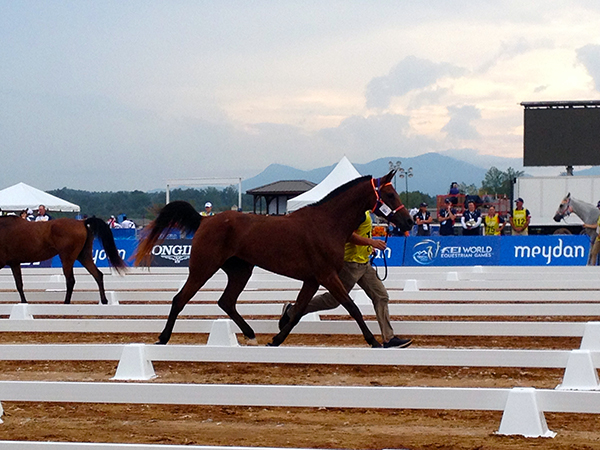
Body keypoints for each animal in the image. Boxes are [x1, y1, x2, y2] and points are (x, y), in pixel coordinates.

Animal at [137, 172, 414, 348]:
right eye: (390, 194)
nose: (409, 222)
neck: (327, 223)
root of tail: (206, 220)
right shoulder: (327, 276)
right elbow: (352, 307)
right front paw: (374, 341)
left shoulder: (312, 279)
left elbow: (299, 311)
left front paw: (277, 339)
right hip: (202, 268)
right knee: (180, 298)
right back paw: (163, 337)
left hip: (240, 271)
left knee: (226, 301)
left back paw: (250, 335)